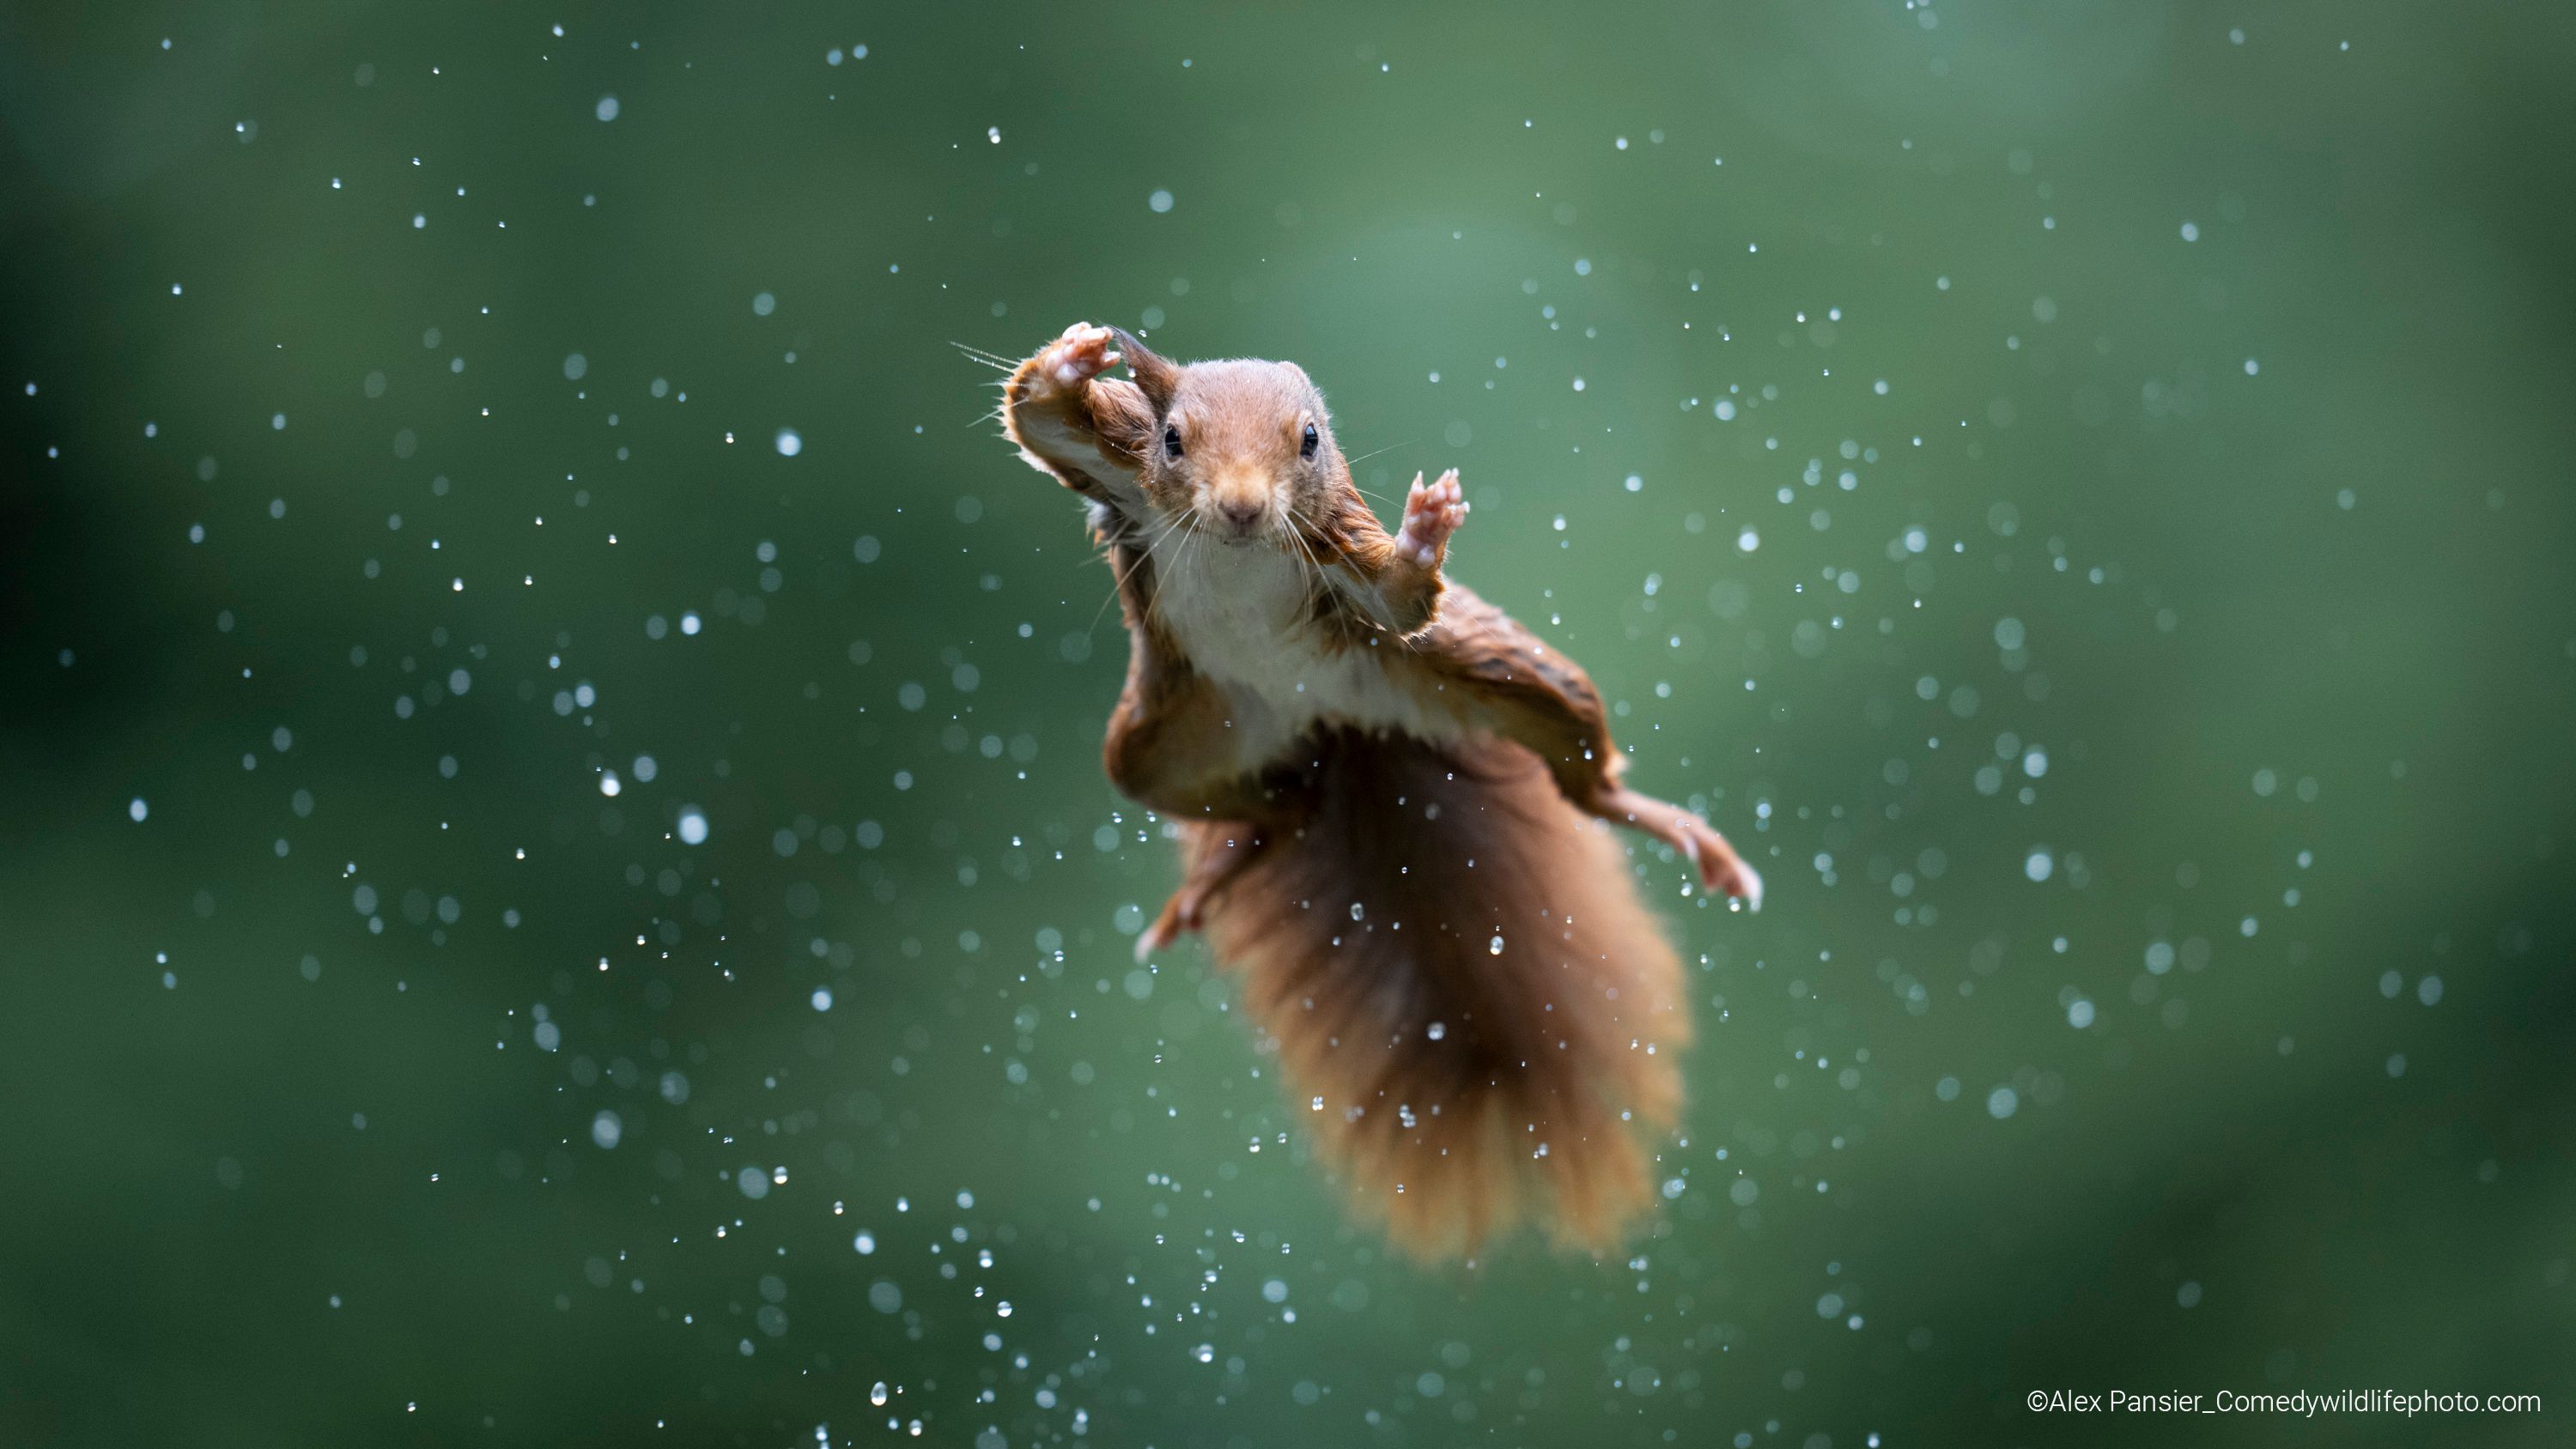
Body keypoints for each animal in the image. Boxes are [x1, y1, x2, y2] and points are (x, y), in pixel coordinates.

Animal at [994, 323, 1762, 1251]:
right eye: (1174, 439)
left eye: (1309, 440)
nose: (1243, 508)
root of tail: (1332, 722)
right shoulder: (1120, 469)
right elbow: (1039, 419)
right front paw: (1074, 358)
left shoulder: (1338, 550)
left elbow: (1400, 598)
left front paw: (1425, 531)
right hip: (1165, 743)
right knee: (1277, 808)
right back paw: (1220, 871)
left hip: (1496, 674)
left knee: (1581, 773)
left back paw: (1676, 828)